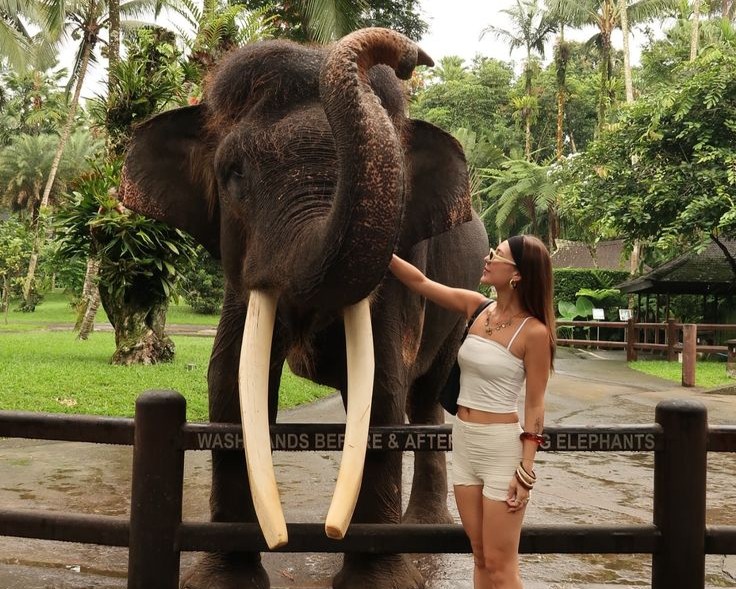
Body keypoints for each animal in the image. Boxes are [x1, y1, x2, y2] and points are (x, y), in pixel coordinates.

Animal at [120, 27, 488, 589]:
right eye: (233, 174)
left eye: (399, 182)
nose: (411, 56)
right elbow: (229, 381)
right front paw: (226, 580)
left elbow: (383, 388)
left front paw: (375, 581)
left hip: (458, 315)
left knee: (424, 399)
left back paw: (425, 533)